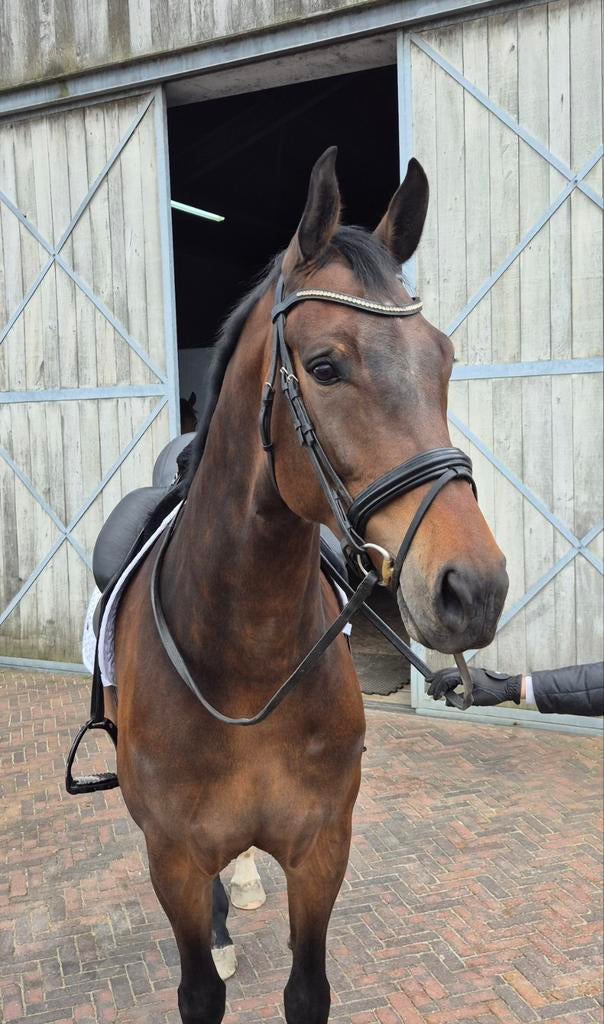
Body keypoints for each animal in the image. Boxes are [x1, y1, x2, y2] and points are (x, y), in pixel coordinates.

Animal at [112, 148, 508, 1023]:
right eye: (326, 366)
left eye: (444, 359)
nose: (474, 589)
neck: (244, 662)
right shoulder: (172, 859)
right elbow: (198, 990)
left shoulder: (323, 850)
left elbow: (308, 991)